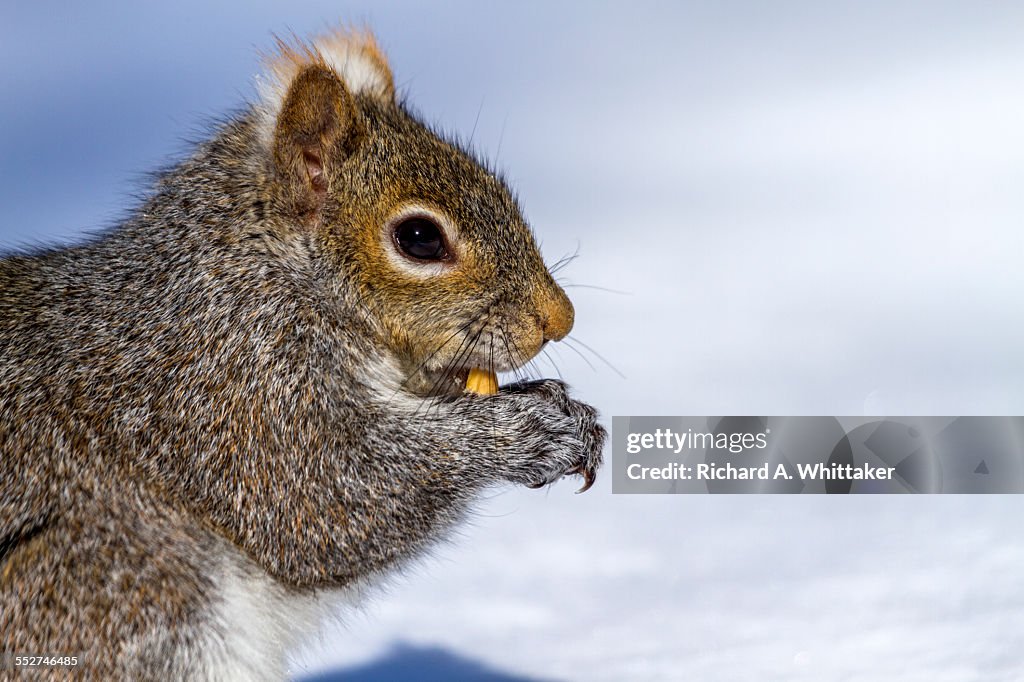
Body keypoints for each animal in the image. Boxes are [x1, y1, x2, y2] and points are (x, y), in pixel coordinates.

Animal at [0, 27, 602, 679]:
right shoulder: (226, 395)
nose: (559, 319)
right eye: (419, 238)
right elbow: (326, 498)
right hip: (129, 589)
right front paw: (524, 430)